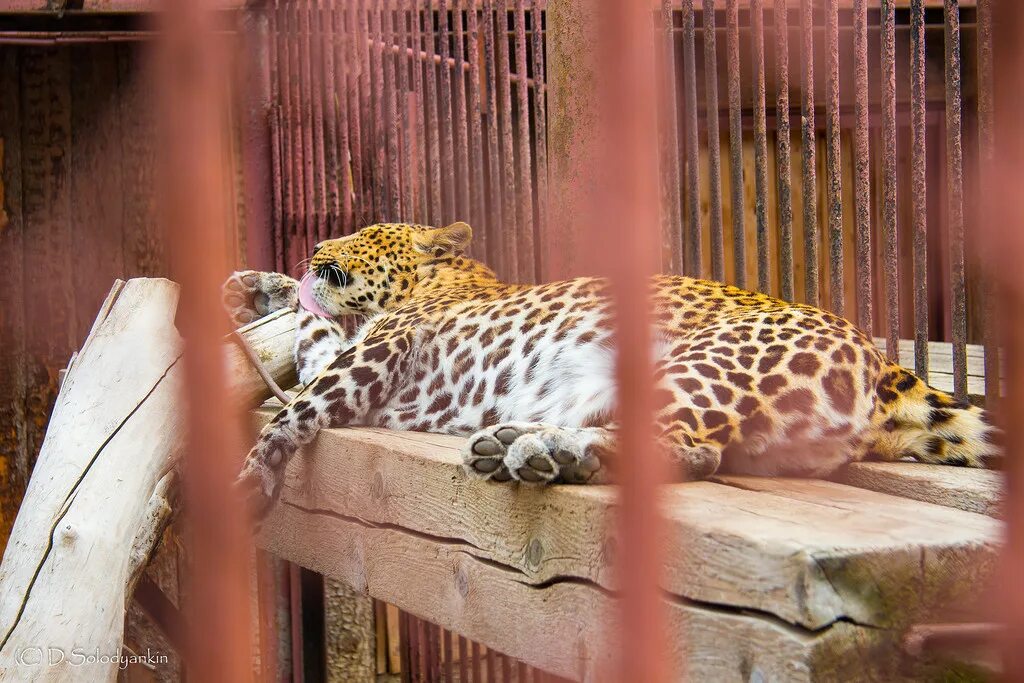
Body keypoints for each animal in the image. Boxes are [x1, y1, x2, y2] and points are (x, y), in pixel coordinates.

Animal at [226, 220, 999, 518]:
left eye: (361, 233)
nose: (315, 247)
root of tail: (885, 363)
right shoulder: (352, 347)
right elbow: (308, 332)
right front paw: (256, 284)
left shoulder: (379, 350)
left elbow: (303, 400)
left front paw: (251, 476)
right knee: (699, 452)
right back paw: (525, 445)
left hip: (704, 361)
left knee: (684, 443)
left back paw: (541, 450)